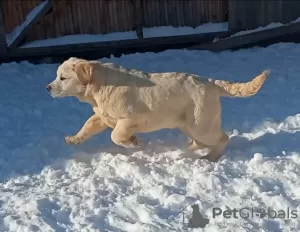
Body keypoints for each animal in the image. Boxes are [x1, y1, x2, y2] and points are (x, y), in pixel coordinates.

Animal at [47, 56, 270, 161]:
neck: (100, 84)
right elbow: (87, 125)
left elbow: (116, 135)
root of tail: (210, 82)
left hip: (201, 124)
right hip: (187, 123)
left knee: (222, 138)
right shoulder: (101, 116)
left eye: (63, 78)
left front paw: (134, 142)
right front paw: (74, 139)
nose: (47, 88)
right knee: (198, 142)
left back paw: (210, 157)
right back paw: (185, 150)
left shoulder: (131, 118)